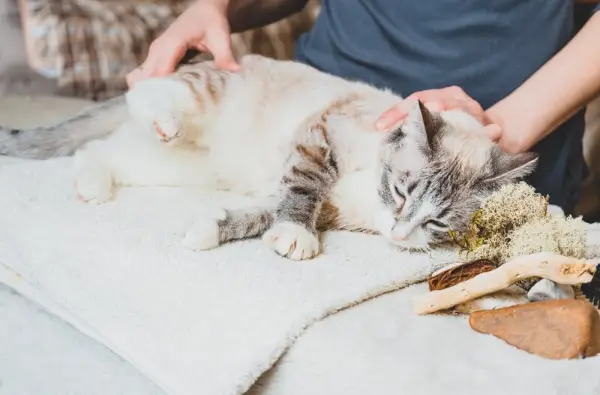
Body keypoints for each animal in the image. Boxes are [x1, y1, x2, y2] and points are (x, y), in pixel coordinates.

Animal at [0, 54, 540, 262]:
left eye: (438, 224)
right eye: (401, 191)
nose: (401, 234)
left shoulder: (329, 209)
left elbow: (262, 210)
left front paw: (208, 231)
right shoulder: (321, 134)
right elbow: (302, 185)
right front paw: (295, 235)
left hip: (181, 168)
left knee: (97, 149)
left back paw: (91, 184)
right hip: (202, 91)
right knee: (147, 91)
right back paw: (164, 119)